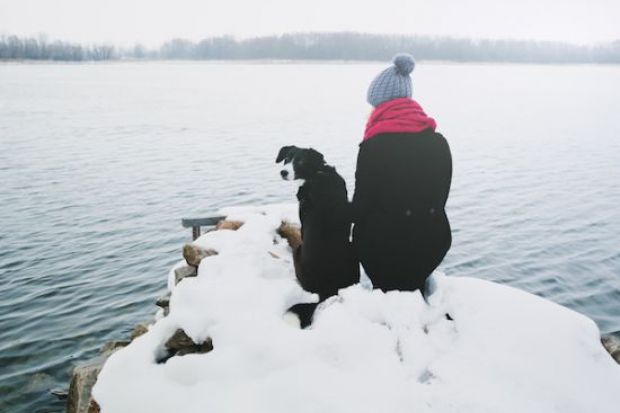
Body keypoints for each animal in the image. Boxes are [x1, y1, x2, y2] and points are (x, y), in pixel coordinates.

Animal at [276, 146, 358, 326]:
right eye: (287, 159)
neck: (317, 174)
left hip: (297, 250)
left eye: (300, 161)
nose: (283, 172)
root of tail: (326, 290)